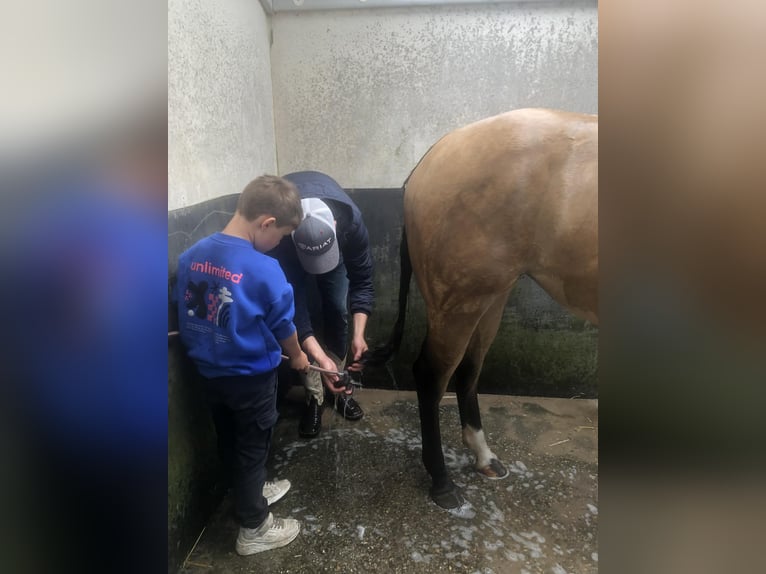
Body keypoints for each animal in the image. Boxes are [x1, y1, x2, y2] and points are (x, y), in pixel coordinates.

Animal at [378, 108, 598, 510]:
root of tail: (430, 160)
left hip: (490, 298)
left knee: (468, 370)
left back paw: (483, 456)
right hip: (459, 304)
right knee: (432, 375)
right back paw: (442, 481)